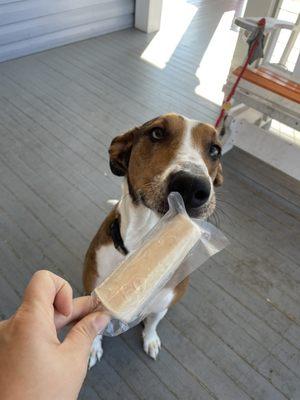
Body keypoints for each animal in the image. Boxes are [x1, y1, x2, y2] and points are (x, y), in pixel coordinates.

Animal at [82, 113, 223, 368]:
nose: (192, 186)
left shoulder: (163, 303)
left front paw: (150, 339)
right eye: (157, 133)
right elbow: (94, 326)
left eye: (215, 149)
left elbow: (153, 322)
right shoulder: (94, 294)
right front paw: (92, 347)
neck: (144, 241)